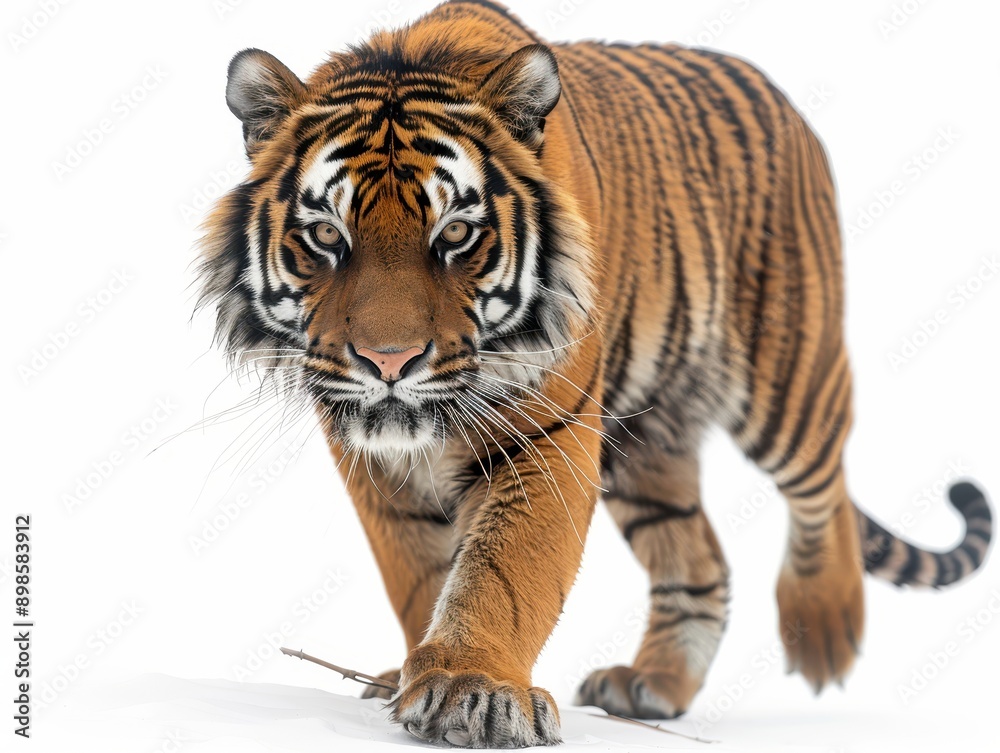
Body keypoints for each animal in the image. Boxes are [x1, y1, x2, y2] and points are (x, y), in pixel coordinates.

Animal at [195, 0, 994, 747]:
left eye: (456, 233)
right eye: (326, 235)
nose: (389, 361)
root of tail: (784, 102)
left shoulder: (547, 432)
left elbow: (505, 567)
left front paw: (471, 687)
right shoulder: (373, 461)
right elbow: (421, 574)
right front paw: (417, 673)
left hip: (786, 377)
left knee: (823, 486)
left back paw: (823, 631)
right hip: (648, 443)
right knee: (699, 556)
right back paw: (654, 683)